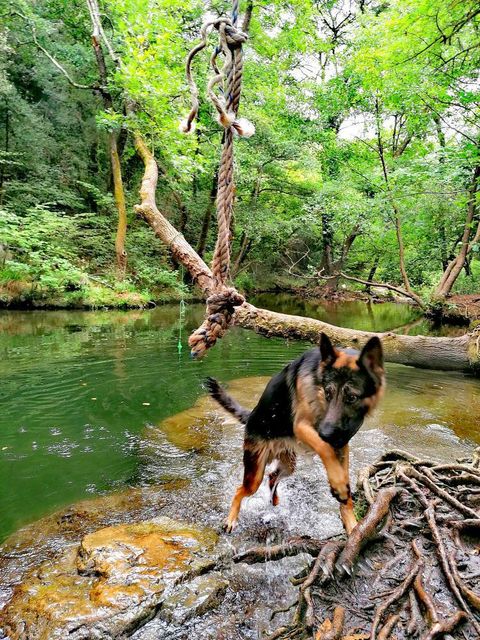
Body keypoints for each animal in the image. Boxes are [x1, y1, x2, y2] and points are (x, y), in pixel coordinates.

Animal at [204, 332, 384, 532]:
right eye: (328, 393)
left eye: (352, 397)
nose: (327, 433)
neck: (317, 381)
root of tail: (251, 415)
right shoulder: (302, 427)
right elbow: (325, 449)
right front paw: (339, 486)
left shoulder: (342, 445)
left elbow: (342, 476)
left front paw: (352, 524)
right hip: (255, 474)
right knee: (241, 490)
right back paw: (231, 519)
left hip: (288, 465)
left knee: (272, 477)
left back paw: (274, 502)